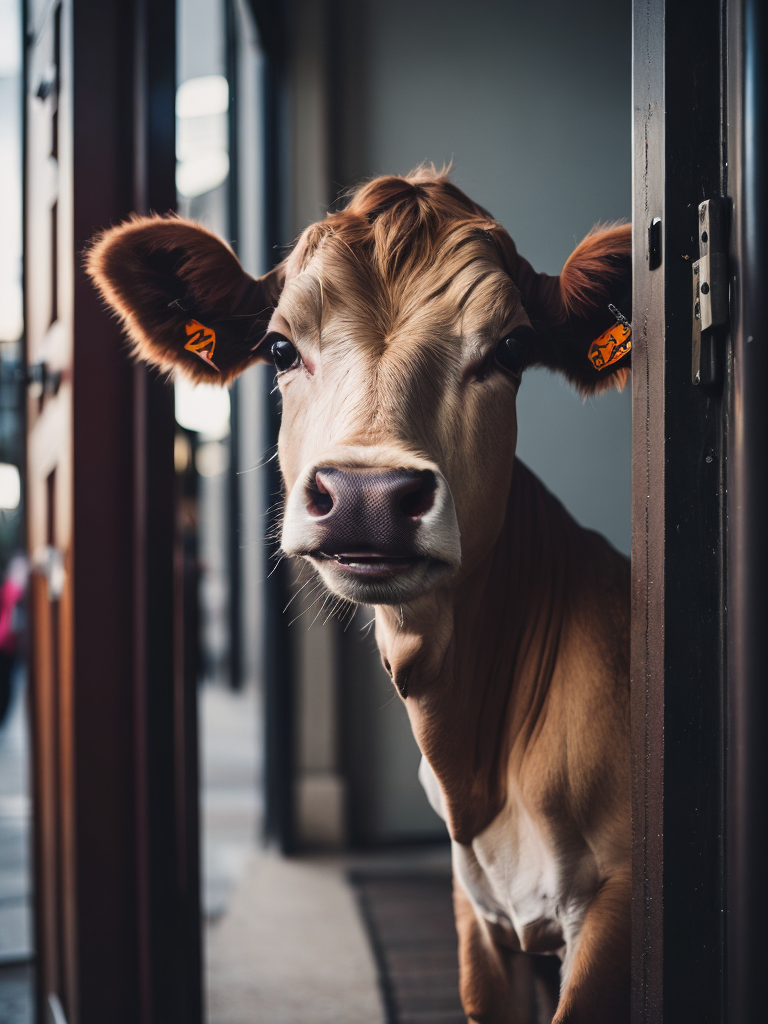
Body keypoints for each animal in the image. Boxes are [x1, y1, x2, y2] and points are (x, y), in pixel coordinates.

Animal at [87, 169, 634, 1024]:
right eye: (281, 347)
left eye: (511, 348)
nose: (366, 496)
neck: (479, 764)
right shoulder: (480, 921)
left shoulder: (614, 916)